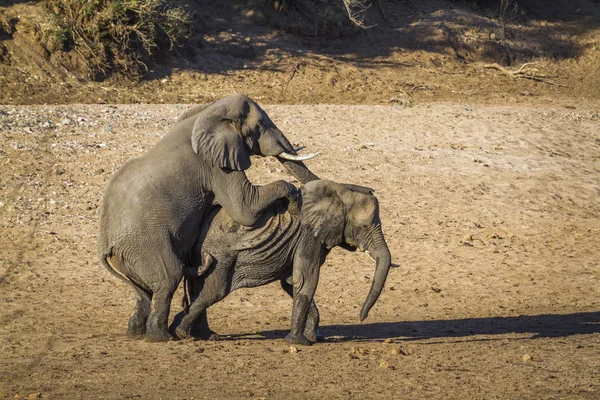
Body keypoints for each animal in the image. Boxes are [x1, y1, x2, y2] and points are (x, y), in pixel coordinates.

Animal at [173, 180, 392, 346]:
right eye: (364, 226)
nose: (361, 318)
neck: (340, 192)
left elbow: (292, 282)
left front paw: (313, 337)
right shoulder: (309, 235)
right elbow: (307, 279)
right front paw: (298, 342)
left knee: (199, 290)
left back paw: (197, 334)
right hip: (218, 255)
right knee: (214, 291)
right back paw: (183, 333)